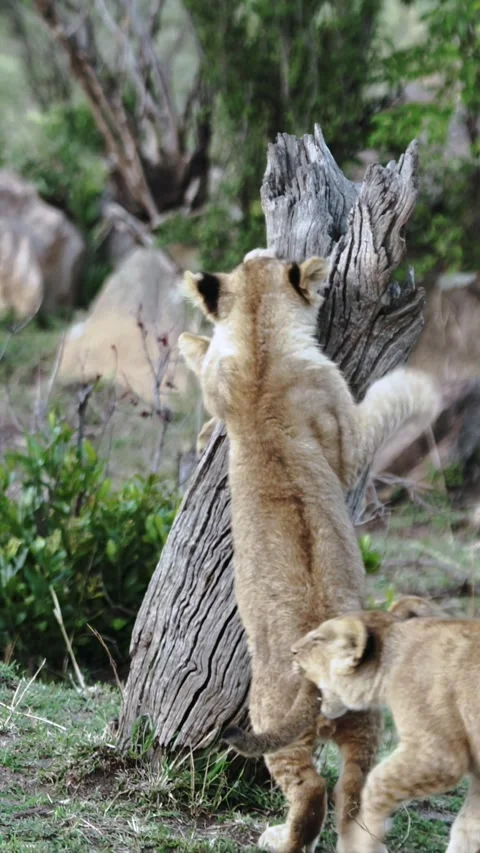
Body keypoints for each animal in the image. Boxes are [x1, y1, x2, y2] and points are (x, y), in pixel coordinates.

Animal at [178, 254, 442, 853]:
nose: (259, 254)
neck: (261, 349)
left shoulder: (231, 388)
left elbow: (208, 377)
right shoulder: (344, 442)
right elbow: (381, 408)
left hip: (350, 724)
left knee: (345, 796)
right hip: (286, 719)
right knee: (324, 794)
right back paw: (284, 838)